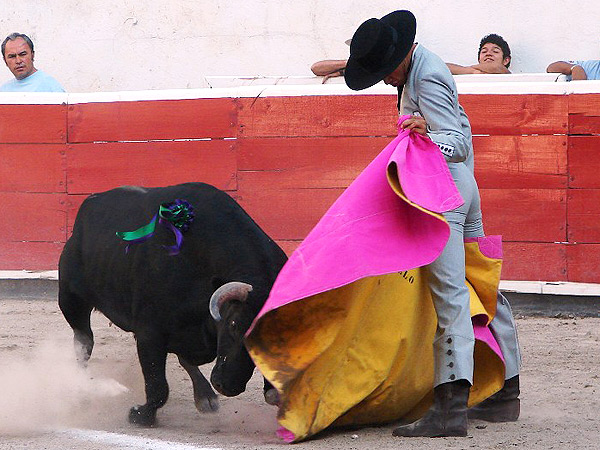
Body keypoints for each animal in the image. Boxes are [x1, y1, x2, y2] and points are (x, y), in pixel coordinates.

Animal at [57, 182, 288, 426]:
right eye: (234, 324)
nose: (227, 386)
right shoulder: (150, 332)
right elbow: (157, 385)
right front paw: (141, 415)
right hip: (71, 301)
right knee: (84, 342)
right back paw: (81, 389)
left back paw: (205, 396)